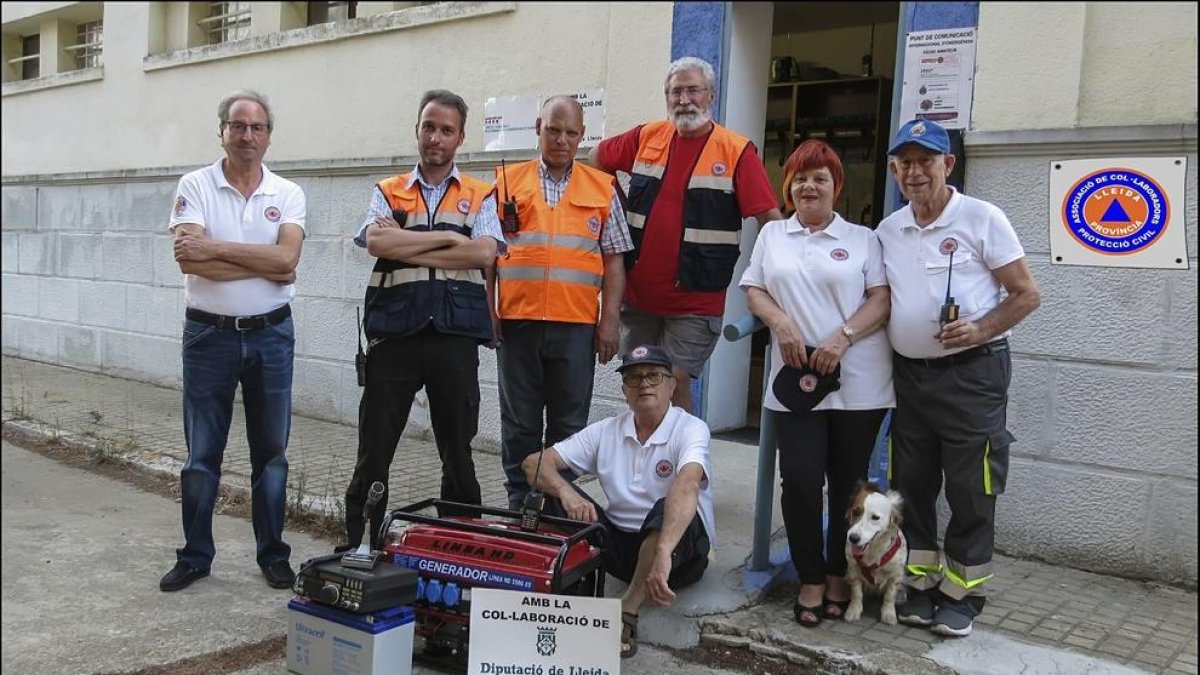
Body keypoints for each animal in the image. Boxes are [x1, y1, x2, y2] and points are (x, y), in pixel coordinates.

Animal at [840, 480, 902, 624]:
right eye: (856, 511)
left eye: (875, 517)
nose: (853, 538)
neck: (873, 550)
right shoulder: (853, 571)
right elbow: (856, 593)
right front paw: (853, 611)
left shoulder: (895, 574)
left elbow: (890, 595)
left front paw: (888, 614)